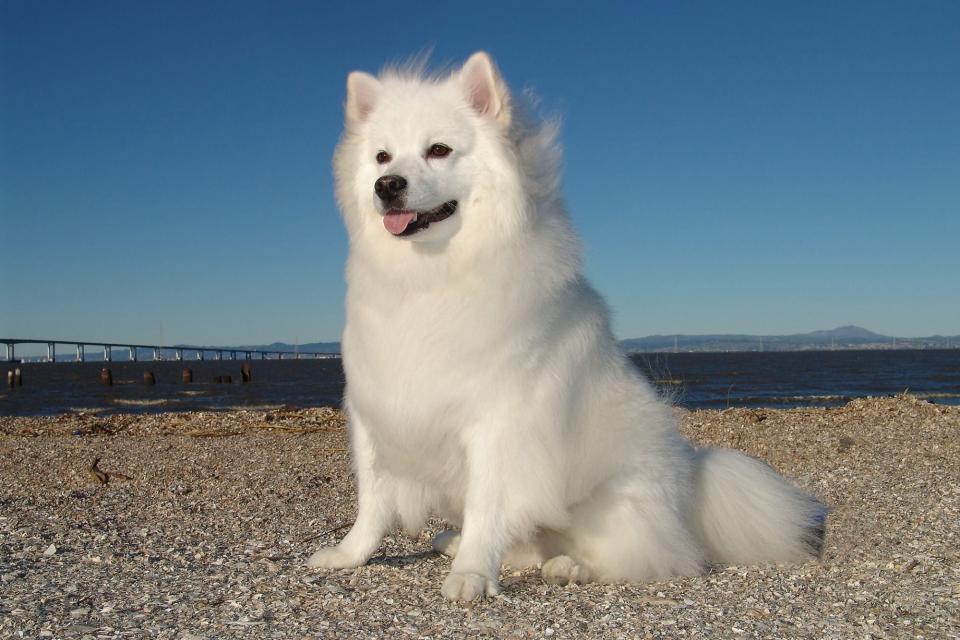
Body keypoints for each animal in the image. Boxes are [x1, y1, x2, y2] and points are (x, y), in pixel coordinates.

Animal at [310, 52, 824, 604]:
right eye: (382, 158)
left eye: (439, 150)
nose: (388, 185)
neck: (430, 278)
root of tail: (691, 495)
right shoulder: (377, 411)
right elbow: (372, 503)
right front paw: (349, 556)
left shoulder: (499, 425)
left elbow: (486, 507)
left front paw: (472, 575)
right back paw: (457, 541)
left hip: (612, 503)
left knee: (645, 557)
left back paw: (569, 566)